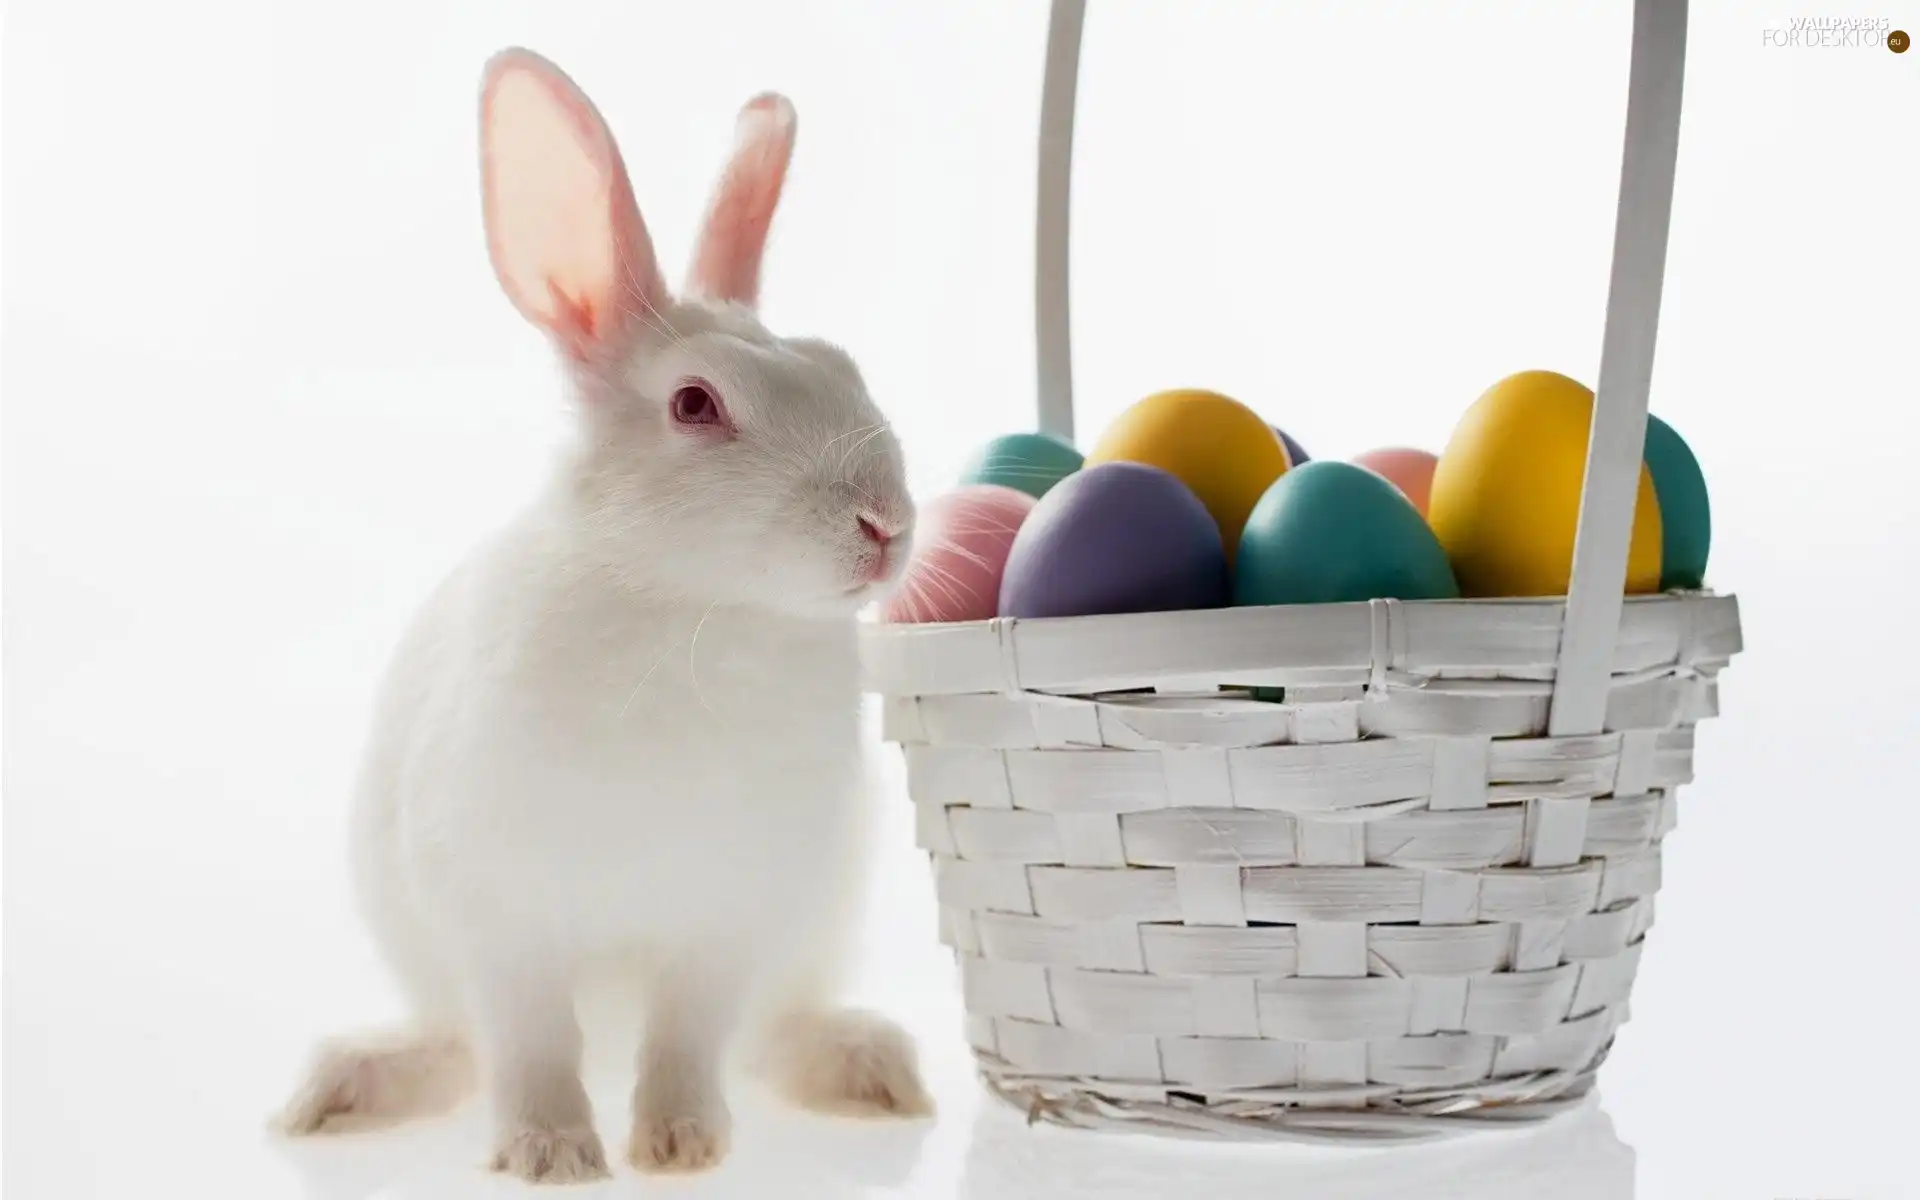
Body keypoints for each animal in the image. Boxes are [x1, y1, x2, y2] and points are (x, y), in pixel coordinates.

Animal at [274, 46, 925, 1182]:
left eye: (844, 366)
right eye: (696, 404)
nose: (884, 524)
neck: (693, 607)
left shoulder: (729, 915)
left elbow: (689, 1035)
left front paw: (679, 1144)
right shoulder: (501, 912)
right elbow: (532, 1040)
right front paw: (551, 1154)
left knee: (767, 1035)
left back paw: (868, 1070)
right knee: (459, 1046)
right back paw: (345, 1089)